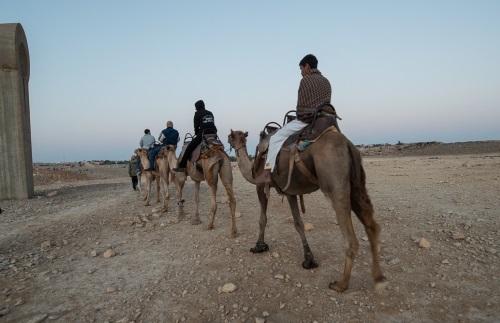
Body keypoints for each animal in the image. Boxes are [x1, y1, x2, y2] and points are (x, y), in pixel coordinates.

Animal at [229, 129, 388, 294]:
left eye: (230, 137)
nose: (226, 141)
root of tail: (348, 145)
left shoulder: (261, 186)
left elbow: (263, 219)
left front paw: (259, 246)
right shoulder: (289, 191)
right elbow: (298, 223)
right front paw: (309, 260)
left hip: (335, 183)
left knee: (351, 239)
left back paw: (341, 284)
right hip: (356, 183)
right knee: (372, 226)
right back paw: (379, 279)